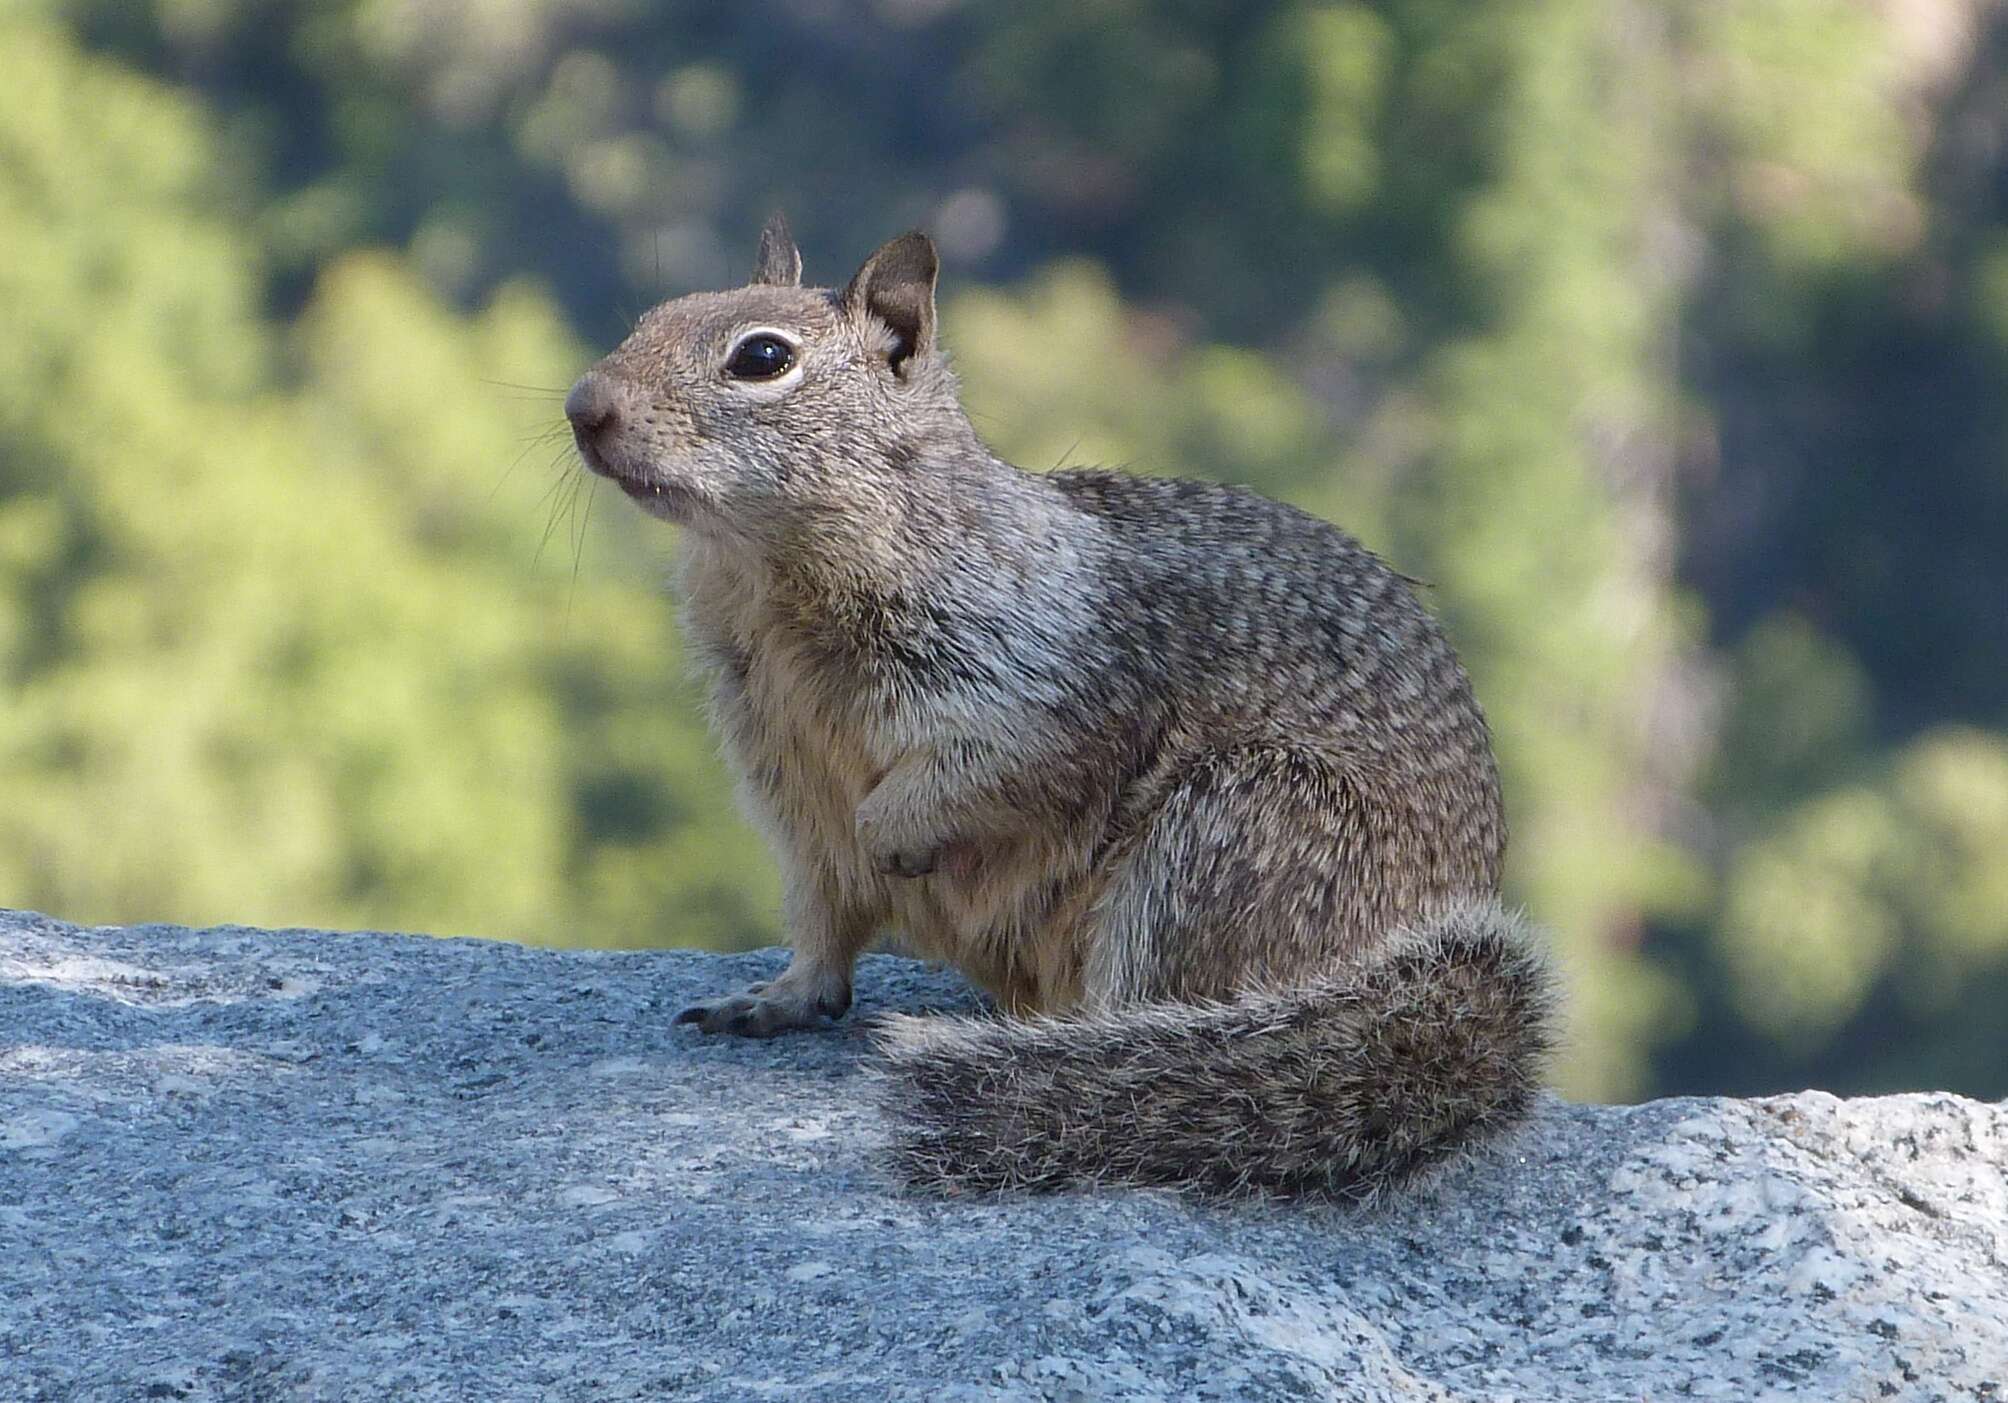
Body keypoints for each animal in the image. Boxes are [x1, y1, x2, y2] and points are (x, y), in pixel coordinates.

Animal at [558, 213, 1558, 1204]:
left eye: (762, 358)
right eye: (653, 314)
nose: (582, 406)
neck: (769, 581)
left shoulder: (1048, 689)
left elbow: (979, 779)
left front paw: (894, 836)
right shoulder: (791, 795)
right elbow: (821, 926)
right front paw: (774, 998)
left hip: (1232, 828)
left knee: (1151, 1026)